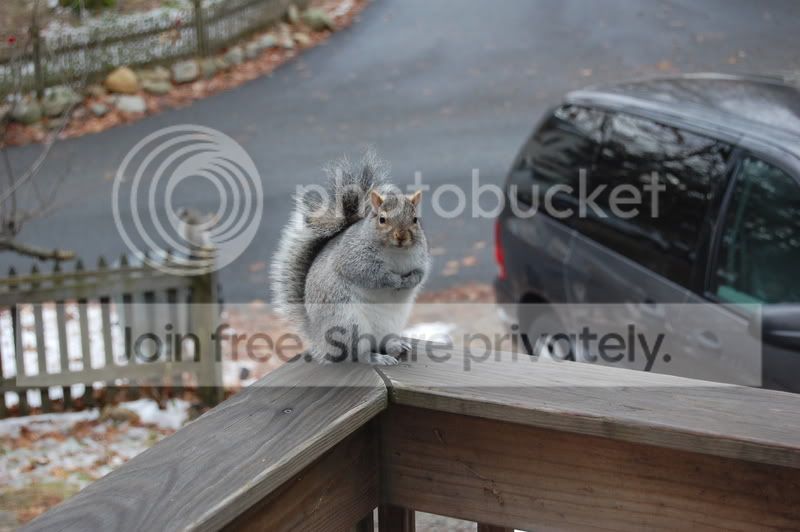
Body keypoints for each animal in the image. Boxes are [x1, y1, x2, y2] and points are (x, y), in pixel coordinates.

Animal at [271, 150, 430, 365]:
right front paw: (394, 280)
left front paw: (410, 280)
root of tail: (319, 338)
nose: (401, 236)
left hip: (388, 325)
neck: (395, 252)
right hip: (348, 324)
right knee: (358, 354)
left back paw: (396, 346)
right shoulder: (354, 259)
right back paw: (377, 358)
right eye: (382, 219)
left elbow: (420, 274)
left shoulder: (420, 260)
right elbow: (371, 276)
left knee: (381, 342)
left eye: (415, 219)